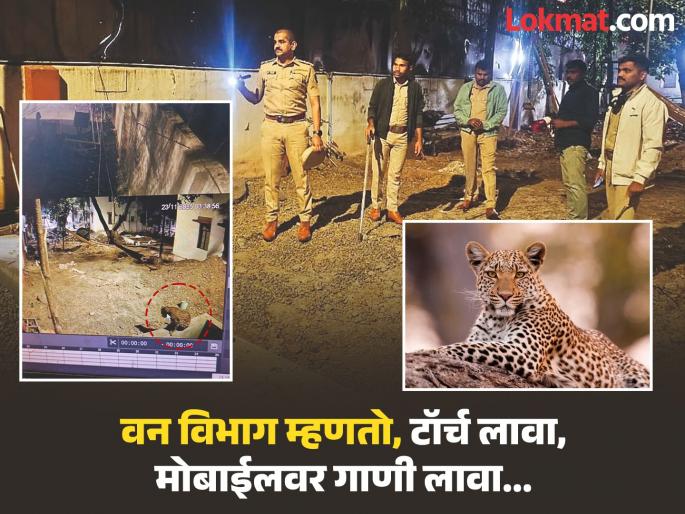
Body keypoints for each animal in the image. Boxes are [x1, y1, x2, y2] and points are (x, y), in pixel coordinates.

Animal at [436, 240, 650, 388]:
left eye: (519, 274)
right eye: (491, 274)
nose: (505, 296)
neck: (497, 319)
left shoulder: (523, 351)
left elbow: (468, 347)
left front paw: (432, 352)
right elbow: (473, 344)